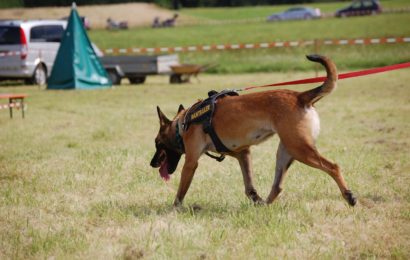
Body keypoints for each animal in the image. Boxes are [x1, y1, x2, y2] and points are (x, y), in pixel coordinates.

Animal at [150, 54, 356, 207]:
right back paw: (265, 205)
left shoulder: (191, 163)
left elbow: (181, 191)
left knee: (333, 167)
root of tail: (299, 96)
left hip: (300, 149)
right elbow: (249, 187)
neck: (183, 122)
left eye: (158, 143)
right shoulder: (243, 154)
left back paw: (348, 196)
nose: (152, 163)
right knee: (278, 186)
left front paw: (174, 209)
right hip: (286, 152)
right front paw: (255, 199)